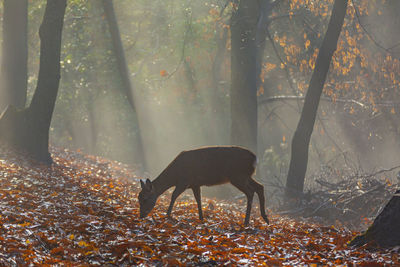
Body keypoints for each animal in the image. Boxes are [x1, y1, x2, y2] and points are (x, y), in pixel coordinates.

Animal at [138, 147, 268, 226]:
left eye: (145, 199)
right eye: (138, 198)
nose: (141, 215)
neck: (175, 175)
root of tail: (255, 158)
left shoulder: (184, 181)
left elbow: (174, 195)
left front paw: (168, 214)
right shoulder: (195, 184)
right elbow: (198, 199)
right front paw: (201, 217)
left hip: (237, 176)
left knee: (250, 192)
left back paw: (246, 221)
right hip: (245, 176)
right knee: (260, 187)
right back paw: (265, 218)